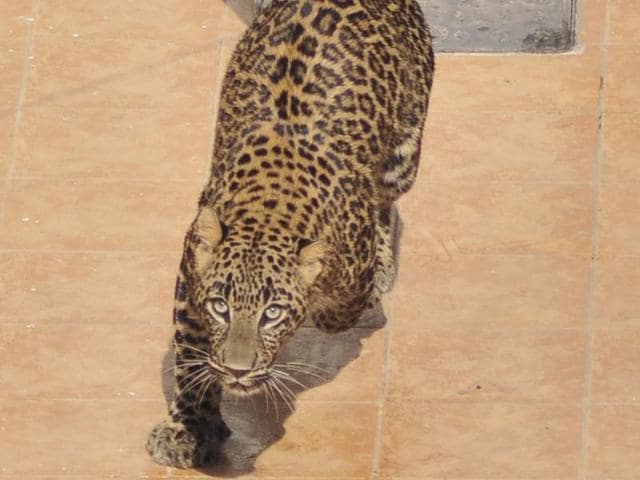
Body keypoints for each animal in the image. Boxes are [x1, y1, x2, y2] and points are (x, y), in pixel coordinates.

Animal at [147, 0, 434, 468]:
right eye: (221, 307)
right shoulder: (192, 269)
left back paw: (382, 264)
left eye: (273, 314)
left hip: (404, 154)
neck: (268, 208)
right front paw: (187, 428)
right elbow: (189, 352)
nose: (238, 370)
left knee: (385, 201)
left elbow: (339, 308)